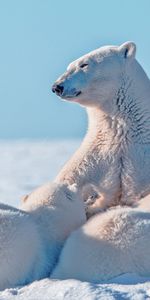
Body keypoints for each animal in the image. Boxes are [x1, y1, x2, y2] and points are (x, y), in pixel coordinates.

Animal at [52, 41, 150, 213]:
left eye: (84, 64)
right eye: (69, 66)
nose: (57, 87)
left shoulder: (141, 159)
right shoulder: (96, 153)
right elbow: (70, 177)